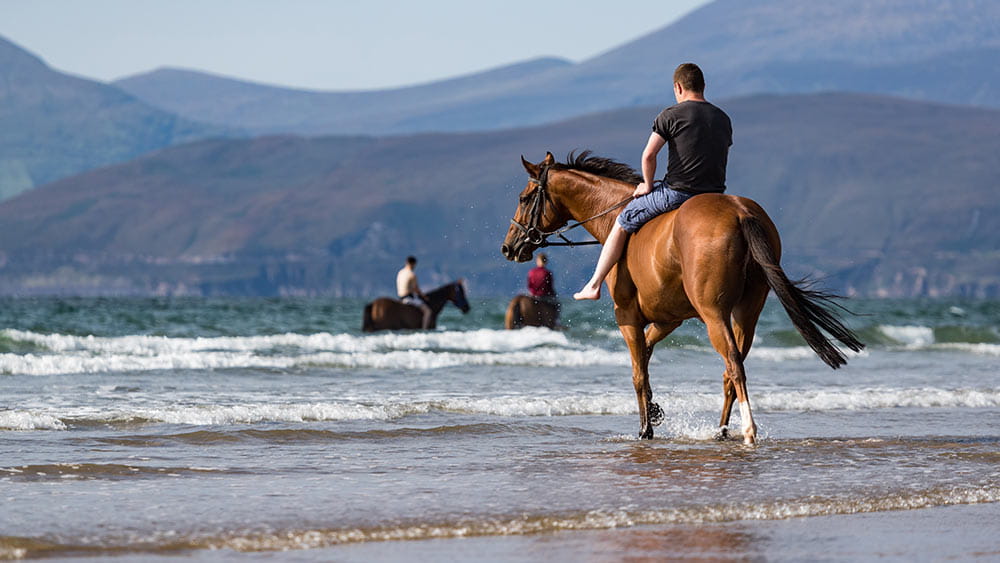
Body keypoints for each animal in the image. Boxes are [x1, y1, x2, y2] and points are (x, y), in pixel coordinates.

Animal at [501, 151, 864, 444]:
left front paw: (645, 429)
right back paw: (721, 431)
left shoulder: (627, 317)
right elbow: (647, 355)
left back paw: (748, 430)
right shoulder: (668, 319)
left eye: (524, 197)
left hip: (714, 314)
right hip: (747, 313)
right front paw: (654, 410)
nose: (508, 247)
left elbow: (638, 372)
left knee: (733, 364)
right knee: (732, 369)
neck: (611, 215)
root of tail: (739, 212)